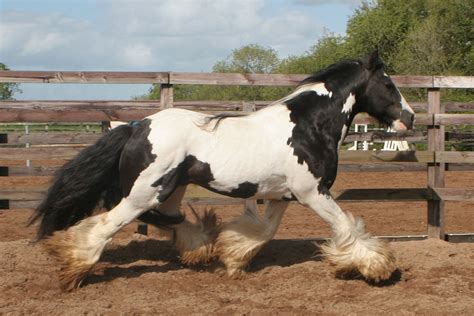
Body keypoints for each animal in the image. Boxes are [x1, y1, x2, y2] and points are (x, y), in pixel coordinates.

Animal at [30, 51, 414, 292]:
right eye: (389, 85)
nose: (409, 118)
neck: (308, 126)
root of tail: (137, 126)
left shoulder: (282, 195)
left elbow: (264, 231)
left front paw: (232, 258)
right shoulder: (313, 193)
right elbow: (346, 225)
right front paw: (377, 267)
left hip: (169, 191)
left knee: (167, 218)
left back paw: (198, 246)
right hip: (144, 193)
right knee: (109, 224)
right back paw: (73, 268)